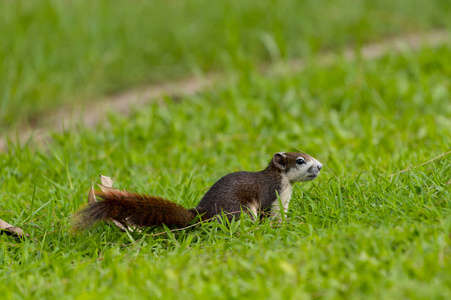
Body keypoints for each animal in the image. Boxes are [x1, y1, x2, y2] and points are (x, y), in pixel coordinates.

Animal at [73, 152, 322, 230]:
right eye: (300, 160)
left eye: (308, 154)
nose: (320, 166)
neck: (286, 187)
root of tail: (202, 213)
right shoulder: (270, 196)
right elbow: (269, 216)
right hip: (240, 210)